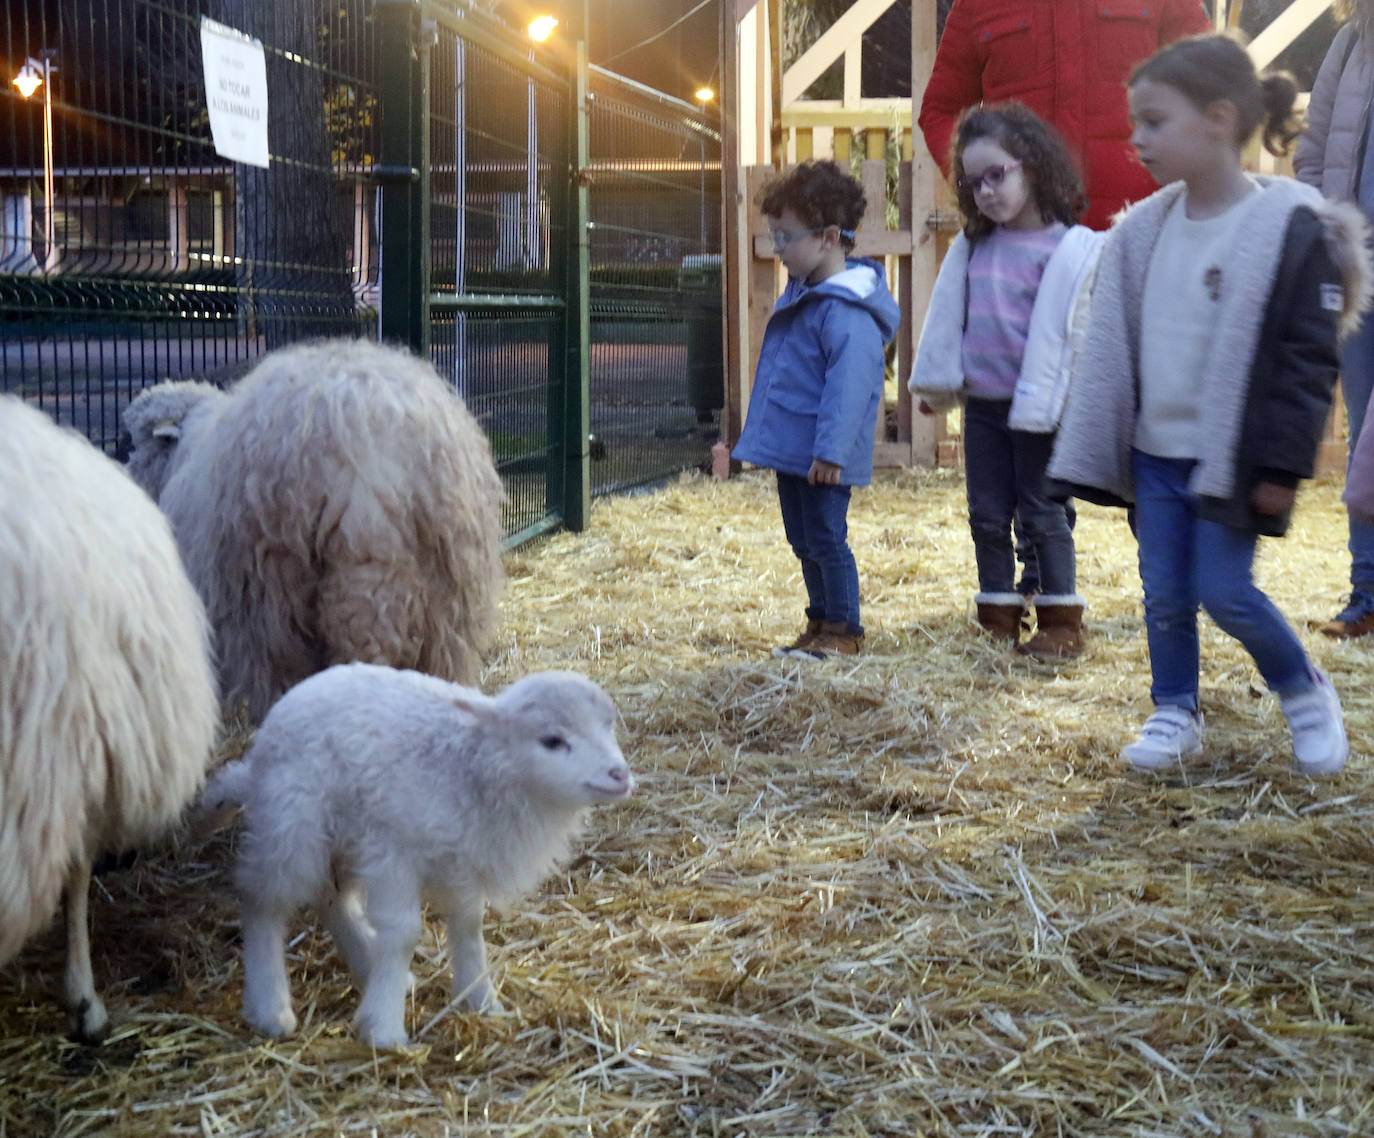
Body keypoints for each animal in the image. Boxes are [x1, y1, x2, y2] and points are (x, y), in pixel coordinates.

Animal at [201, 667, 632, 1050]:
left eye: (608, 726)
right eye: (552, 740)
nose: (619, 775)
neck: (476, 764)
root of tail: (257, 753)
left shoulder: (462, 859)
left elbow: (468, 927)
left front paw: (481, 1000)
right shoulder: (394, 851)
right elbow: (404, 932)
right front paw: (383, 1029)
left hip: (344, 836)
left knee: (333, 897)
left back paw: (366, 961)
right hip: (292, 824)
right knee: (263, 903)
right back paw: (270, 1005)